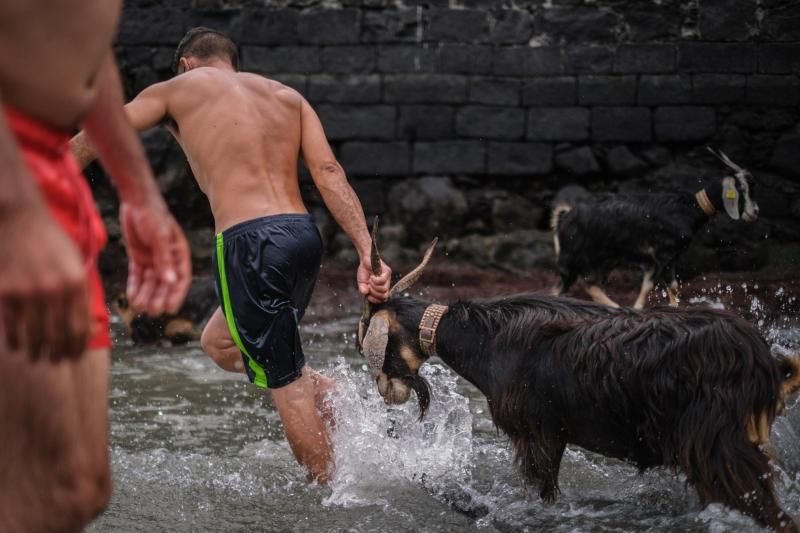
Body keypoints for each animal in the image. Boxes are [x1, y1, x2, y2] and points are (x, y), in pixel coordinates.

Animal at [552, 149, 760, 308]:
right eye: (741, 189)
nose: (755, 212)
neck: (687, 209)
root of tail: (566, 216)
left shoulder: (658, 260)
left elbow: (653, 286)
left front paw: (638, 308)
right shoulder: (664, 253)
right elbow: (668, 286)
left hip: (605, 259)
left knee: (591, 286)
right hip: (574, 258)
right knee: (564, 287)